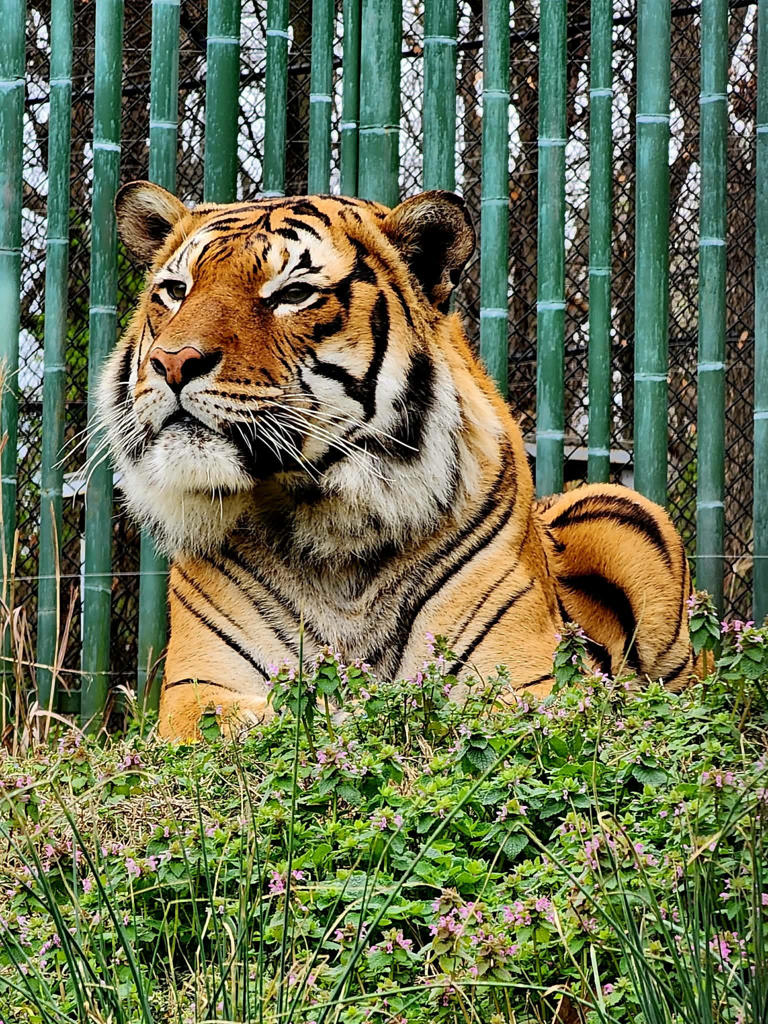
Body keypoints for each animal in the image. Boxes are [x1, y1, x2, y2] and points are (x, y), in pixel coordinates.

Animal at [98, 181, 692, 740]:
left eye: (293, 293)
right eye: (175, 290)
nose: (172, 362)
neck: (325, 526)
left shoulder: (529, 676)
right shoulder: (195, 687)